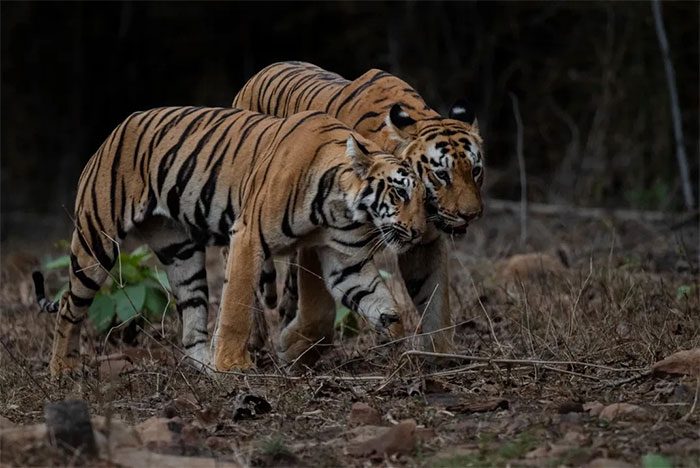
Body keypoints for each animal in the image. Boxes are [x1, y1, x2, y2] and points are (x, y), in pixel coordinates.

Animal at [34, 105, 426, 376]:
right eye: (400, 193)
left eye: (426, 198)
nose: (420, 232)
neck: (341, 211)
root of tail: (113, 132)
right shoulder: (249, 236)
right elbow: (237, 305)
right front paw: (234, 367)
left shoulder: (347, 262)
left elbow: (385, 306)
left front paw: (404, 350)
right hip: (95, 240)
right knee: (68, 305)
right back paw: (62, 370)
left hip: (180, 252)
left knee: (191, 319)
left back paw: (205, 365)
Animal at [232, 61, 484, 362]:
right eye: (441, 175)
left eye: (476, 171)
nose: (471, 214)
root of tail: (260, 72)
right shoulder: (324, 234)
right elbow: (319, 308)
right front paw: (292, 347)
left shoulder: (425, 242)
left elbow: (435, 302)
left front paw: (441, 357)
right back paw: (255, 338)